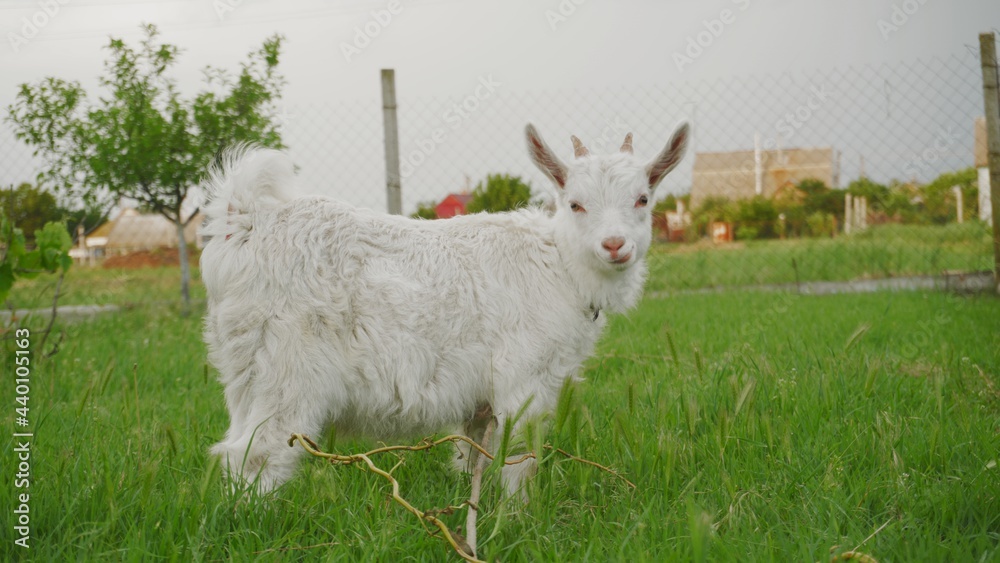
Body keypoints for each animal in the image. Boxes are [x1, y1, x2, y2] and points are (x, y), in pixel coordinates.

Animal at [201, 121, 689, 495]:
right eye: (575, 204)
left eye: (643, 199)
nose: (615, 245)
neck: (558, 265)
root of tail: (247, 222)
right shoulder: (524, 378)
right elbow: (520, 458)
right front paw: (519, 518)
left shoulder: (480, 401)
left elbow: (475, 457)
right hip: (288, 371)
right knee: (253, 454)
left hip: (245, 372)